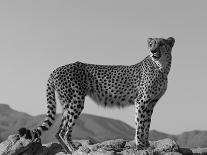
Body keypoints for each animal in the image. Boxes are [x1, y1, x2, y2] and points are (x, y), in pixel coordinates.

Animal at [19, 37, 175, 153]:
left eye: (161, 44)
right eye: (151, 44)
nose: (153, 51)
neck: (161, 67)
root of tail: (56, 69)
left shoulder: (150, 103)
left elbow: (146, 124)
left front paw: (146, 144)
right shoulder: (141, 101)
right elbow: (140, 124)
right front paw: (140, 145)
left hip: (67, 102)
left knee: (59, 130)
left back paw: (68, 150)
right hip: (76, 100)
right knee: (65, 130)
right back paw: (74, 149)